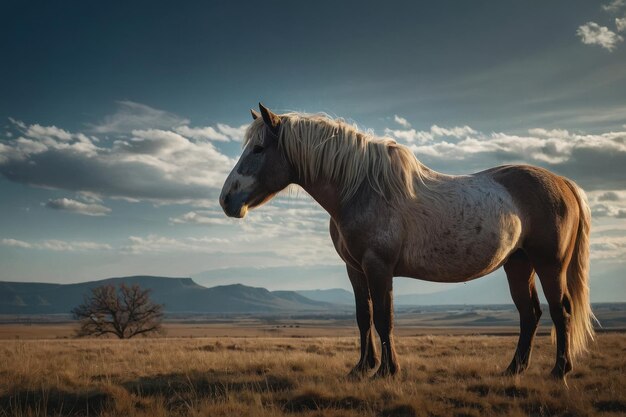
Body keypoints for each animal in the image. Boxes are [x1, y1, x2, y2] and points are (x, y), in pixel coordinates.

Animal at [219, 102, 596, 378]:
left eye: (258, 148)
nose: (226, 199)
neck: (360, 189)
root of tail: (563, 182)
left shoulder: (378, 266)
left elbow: (384, 318)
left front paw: (387, 371)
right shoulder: (355, 270)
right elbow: (364, 317)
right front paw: (362, 368)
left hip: (549, 265)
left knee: (560, 311)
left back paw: (559, 371)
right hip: (518, 264)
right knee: (529, 314)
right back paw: (513, 370)